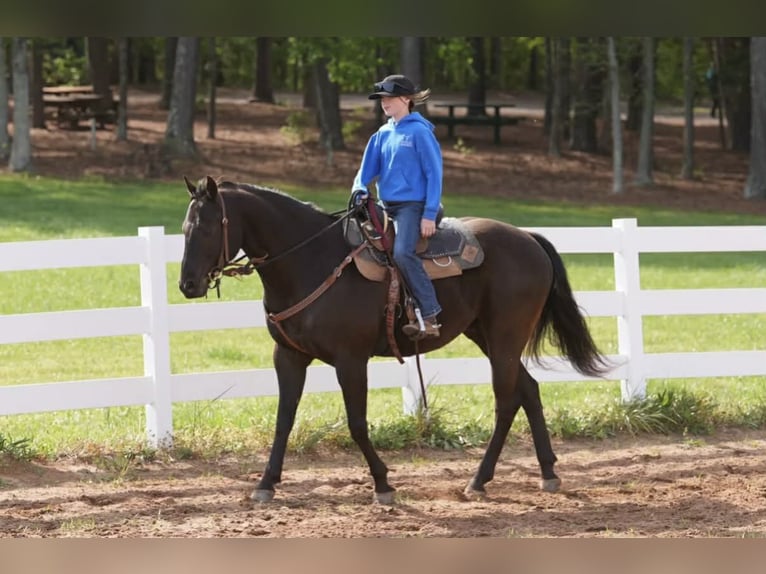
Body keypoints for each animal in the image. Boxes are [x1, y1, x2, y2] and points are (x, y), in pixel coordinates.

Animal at [179, 175, 609, 504]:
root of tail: (528, 238)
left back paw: (478, 480)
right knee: (529, 390)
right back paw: (547, 472)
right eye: (184, 230)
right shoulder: (288, 356)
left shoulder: (351, 359)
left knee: (506, 402)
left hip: (505, 336)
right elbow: (284, 420)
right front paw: (266, 483)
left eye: (208, 227)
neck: (312, 261)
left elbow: (356, 423)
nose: (187, 285)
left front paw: (383, 483)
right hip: (486, 336)